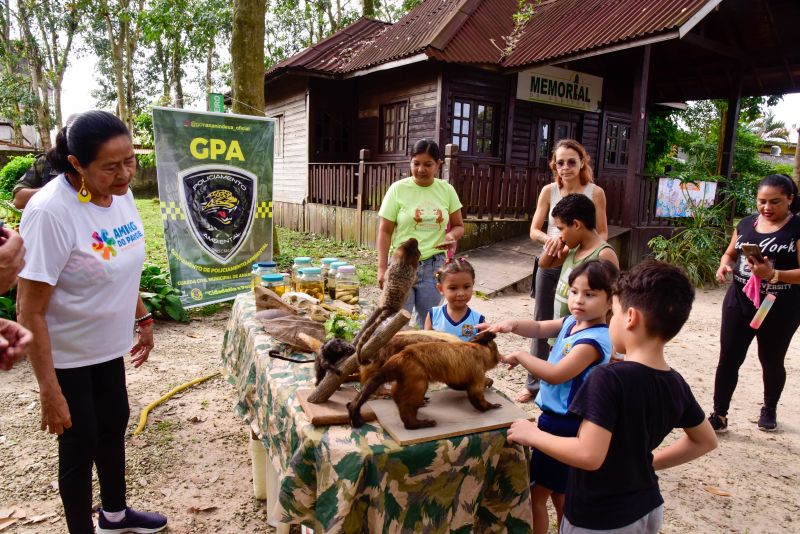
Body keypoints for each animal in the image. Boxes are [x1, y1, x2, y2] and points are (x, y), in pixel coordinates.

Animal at [348, 330, 504, 432]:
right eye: (497, 355)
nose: (500, 358)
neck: (477, 350)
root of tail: (400, 358)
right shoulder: (477, 368)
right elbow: (475, 394)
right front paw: (490, 404)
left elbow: (459, 384)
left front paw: (488, 382)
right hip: (411, 372)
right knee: (414, 394)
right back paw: (415, 423)